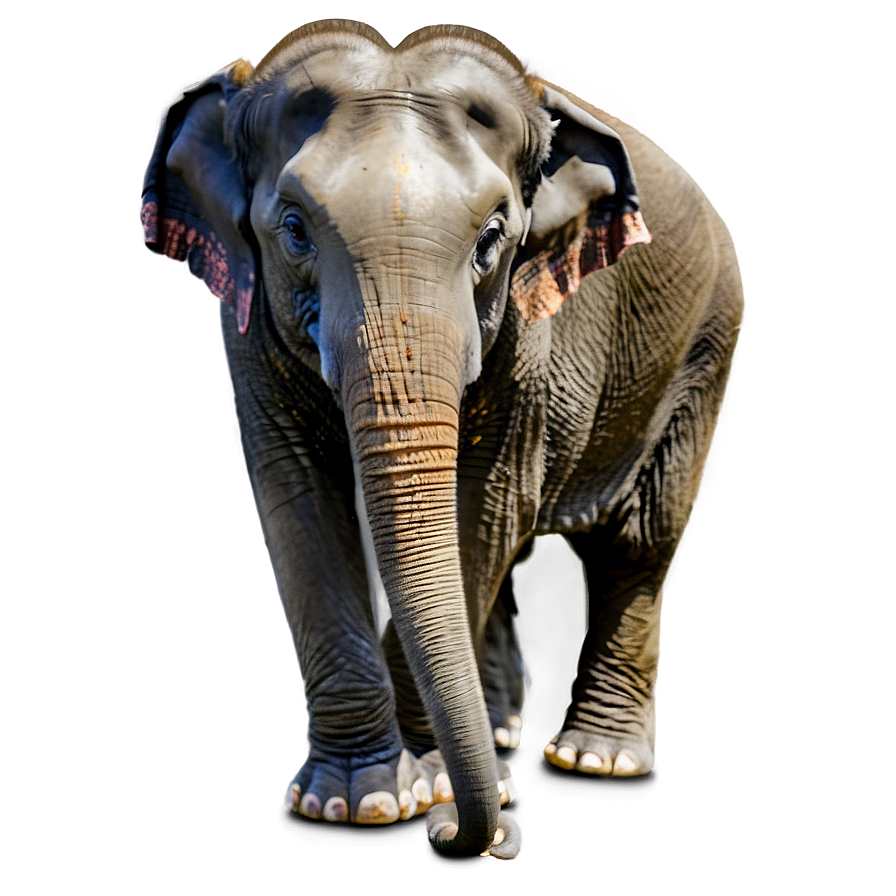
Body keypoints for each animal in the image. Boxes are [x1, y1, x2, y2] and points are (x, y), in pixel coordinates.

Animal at [141, 20, 741, 859]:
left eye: (492, 238)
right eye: (293, 229)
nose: (464, 835)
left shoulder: (530, 326)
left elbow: (483, 504)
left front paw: (420, 788)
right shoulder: (249, 318)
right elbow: (298, 495)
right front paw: (354, 802)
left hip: (706, 345)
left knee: (639, 540)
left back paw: (595, 761)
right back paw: (507, 745)